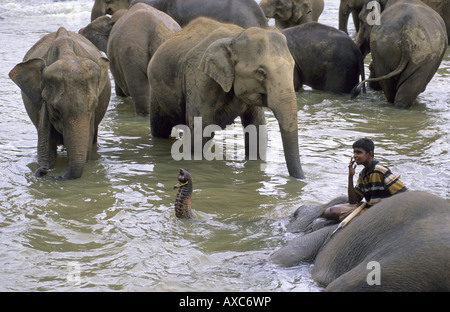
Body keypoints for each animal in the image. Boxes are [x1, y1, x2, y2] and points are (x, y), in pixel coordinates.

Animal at [148, 18, 306, 179]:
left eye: (292, 67)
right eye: (261, 72)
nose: (303, 178)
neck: (234, 39)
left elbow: (257, 129)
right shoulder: (200, 79)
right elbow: (200, 133)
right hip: (155, 91)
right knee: (160, 128)